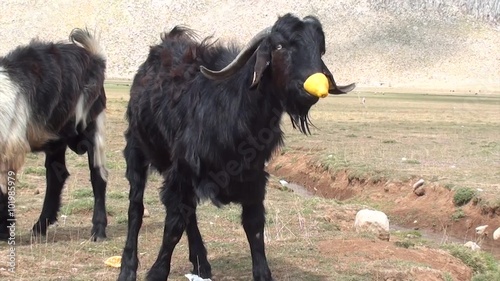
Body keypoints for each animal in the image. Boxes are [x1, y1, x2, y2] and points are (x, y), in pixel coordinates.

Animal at [0, 29, 109, 242]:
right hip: (55, 137)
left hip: (90, 125)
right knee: (56, 175)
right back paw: (40, 226)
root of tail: (94, 57)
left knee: (97, 175)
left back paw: (98, 231)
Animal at [118, 13, 354, 280]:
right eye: (279, 46)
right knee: (136, 208)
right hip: (136, 150)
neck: (234, 105)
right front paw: (156, 272)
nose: (310, 89)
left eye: (320, 49)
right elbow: (173, 227)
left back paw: (201, 262)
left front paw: (263, 274)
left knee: (189, 215)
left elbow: (254, 227)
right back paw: (128, 267)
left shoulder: (254, 177)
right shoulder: (181, 172)